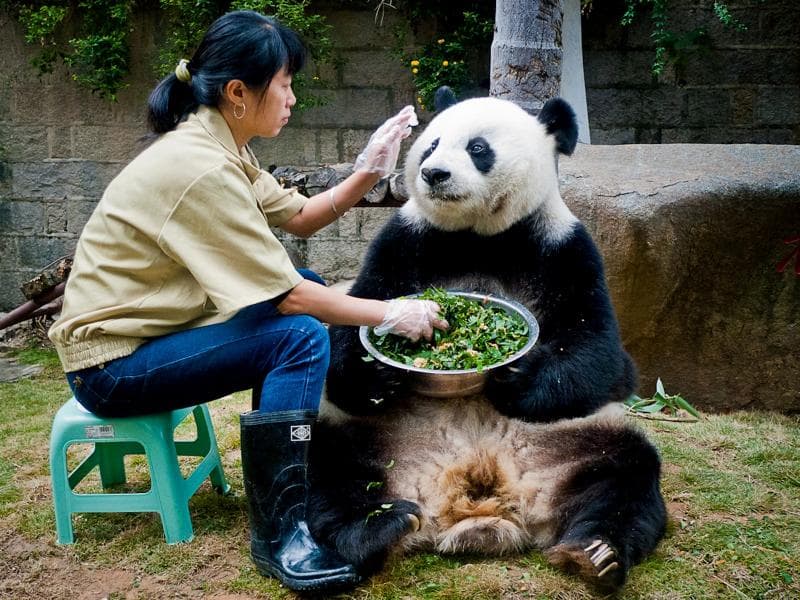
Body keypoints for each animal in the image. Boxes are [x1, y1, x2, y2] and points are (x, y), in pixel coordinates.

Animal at [306, 90, 668, 592]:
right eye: (431, 143)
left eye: (478, 148)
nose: (433, 173)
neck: (479, 235)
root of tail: (479, 501)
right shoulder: (405, 241)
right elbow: (359, 307)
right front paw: (376, 372)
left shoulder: (563, 247)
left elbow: (603, 353)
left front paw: (515, 381)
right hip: (374, 439)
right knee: (327, 470)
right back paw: (379, 528)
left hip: (576, 441)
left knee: (625, 476)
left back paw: (595, 553)